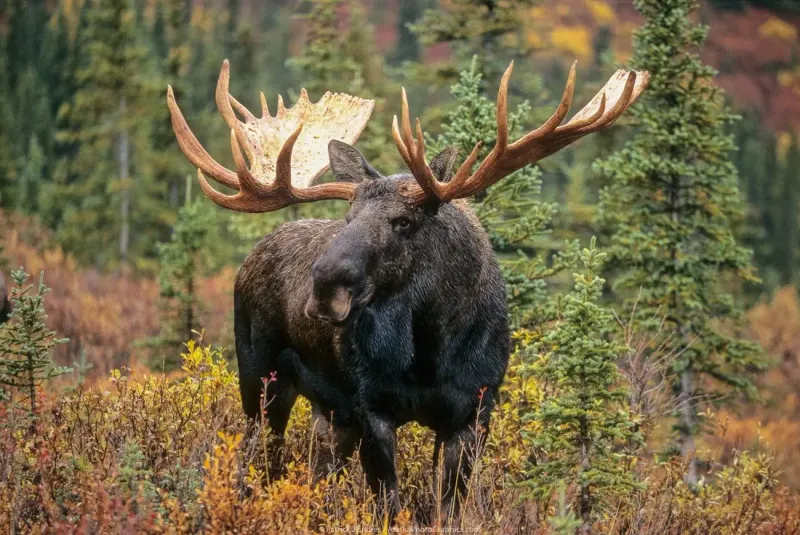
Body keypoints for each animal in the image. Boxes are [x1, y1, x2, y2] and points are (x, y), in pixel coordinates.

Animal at [166, 59, 648, 519]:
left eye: (403, 221)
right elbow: (389, 506)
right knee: (256, 465)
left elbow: (446, 510)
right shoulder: (371, 409)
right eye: (348, 217)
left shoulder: (474, 412)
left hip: (330, 411)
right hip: (261, 379)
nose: (322, 289)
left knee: (316, 473)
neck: (431, 348)